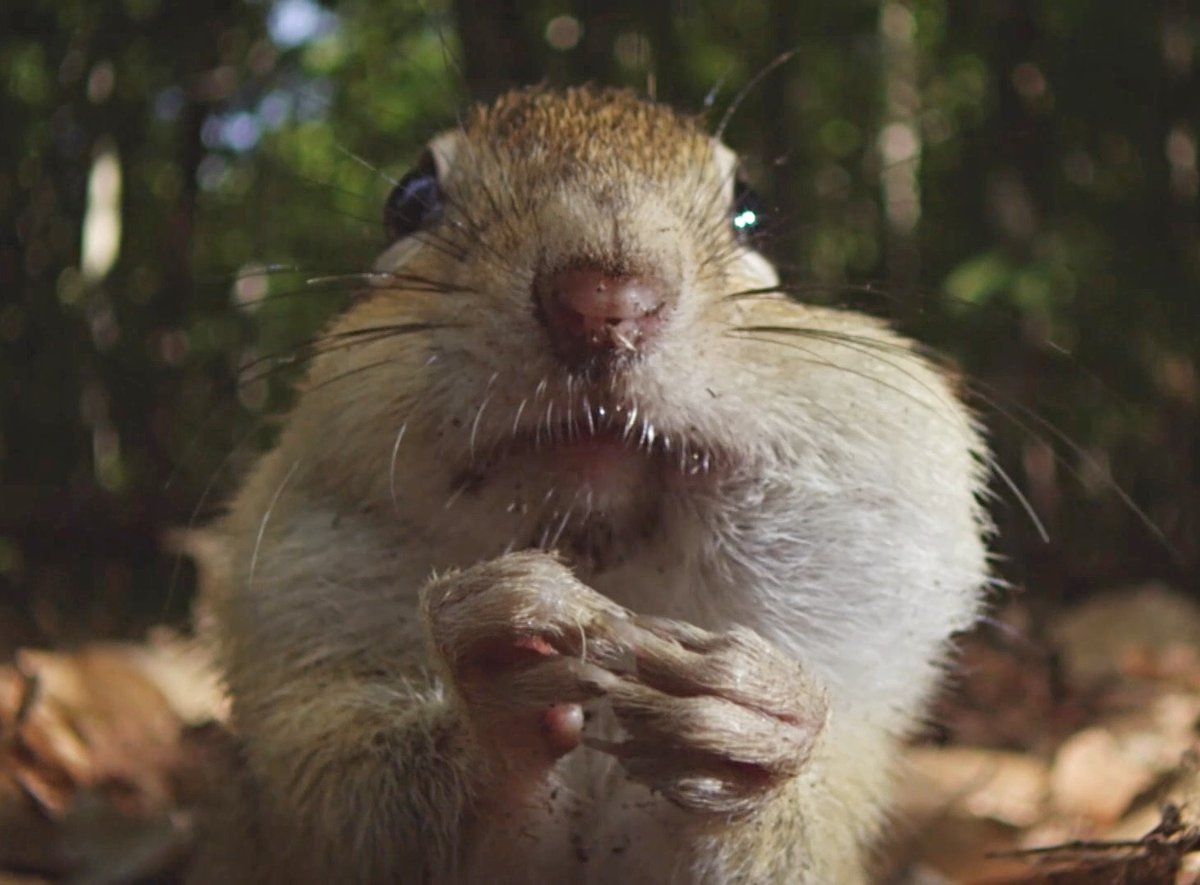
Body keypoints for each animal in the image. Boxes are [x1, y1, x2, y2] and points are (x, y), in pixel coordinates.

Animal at [195, 86, 991, 883]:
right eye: (410, 199)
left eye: (752, 208)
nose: (606, 300)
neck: (607, 556)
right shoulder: (304, 679)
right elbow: (374, 813)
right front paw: (495, 681)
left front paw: (757, 725)